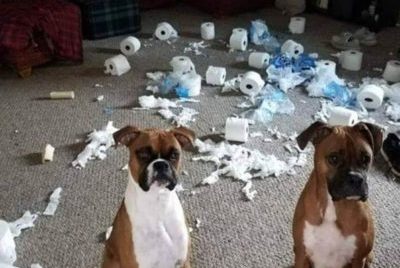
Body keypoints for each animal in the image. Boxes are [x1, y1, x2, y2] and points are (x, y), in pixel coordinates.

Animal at [292, 122, 382, 268]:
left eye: (366, 158)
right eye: (334, 158)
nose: (356, 178)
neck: (333, 206)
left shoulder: (359, 259)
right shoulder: (301, 254)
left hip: (369, 256)